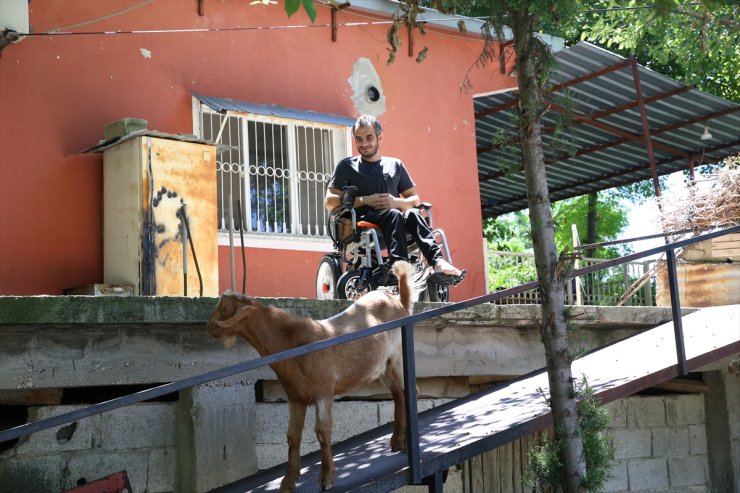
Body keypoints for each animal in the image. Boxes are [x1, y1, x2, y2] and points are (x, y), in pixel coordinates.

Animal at [208, 260, 416, 490]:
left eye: (225, 309)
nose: (208, 326)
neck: (292, 344)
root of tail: (400, 303)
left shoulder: (323, 392)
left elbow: (322, 433)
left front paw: (327, 478)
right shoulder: (295, 397)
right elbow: (292, 436)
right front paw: (288, 481)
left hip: (399, 358)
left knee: (411, 391)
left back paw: (406, 443)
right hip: (384, 367)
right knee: (398, 394)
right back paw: (397, 441)